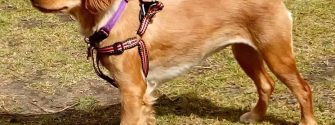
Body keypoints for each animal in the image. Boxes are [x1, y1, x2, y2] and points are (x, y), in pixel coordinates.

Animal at [30, 0, 318, 124]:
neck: (108, 16)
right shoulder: (142, 92)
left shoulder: (132, 89)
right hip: (244, 51)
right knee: (266, 85)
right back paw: (256, 116)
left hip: (275, 53)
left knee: (304, 89)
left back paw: (307, 122)